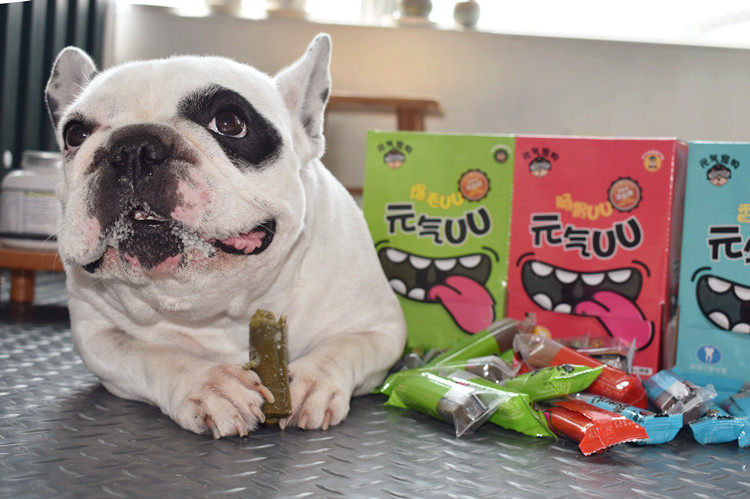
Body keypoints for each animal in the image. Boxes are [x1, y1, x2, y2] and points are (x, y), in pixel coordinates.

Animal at [44, 34, 406, 437]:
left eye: (231, 123)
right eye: (74, 134)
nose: (133, 147)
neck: (219, 306)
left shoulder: (381, 328)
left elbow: (346, 347)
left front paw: (313, 381)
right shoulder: (95, 336)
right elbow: (151, 355)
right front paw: (209, 385)